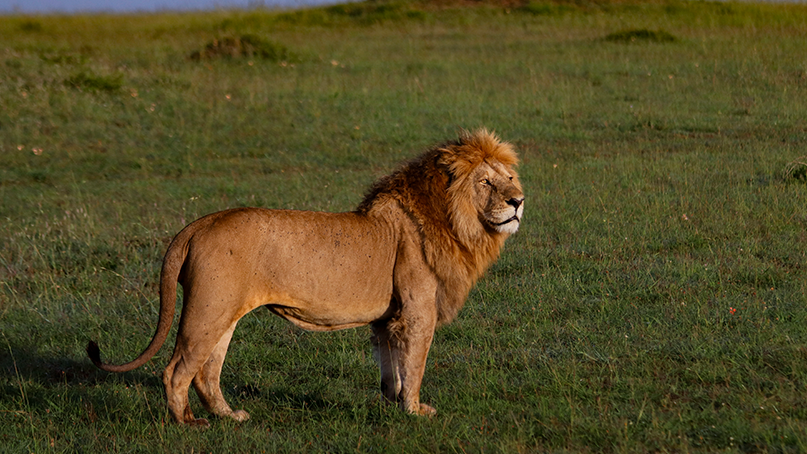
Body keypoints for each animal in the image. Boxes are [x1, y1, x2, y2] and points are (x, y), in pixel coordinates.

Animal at [87, 129, 524, 426]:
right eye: (486, 181)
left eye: (510, 178)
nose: (518, 201)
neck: (454, 222)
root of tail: (201, 222)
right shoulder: (418, 312)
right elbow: (414, 365)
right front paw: (415, 412)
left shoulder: (388, 318)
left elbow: (391, 369)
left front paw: (391, 405)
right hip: (207, 311)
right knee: (177, 370)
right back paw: (188, 423)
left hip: (221, 312)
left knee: (207, 373)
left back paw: (230, 416)